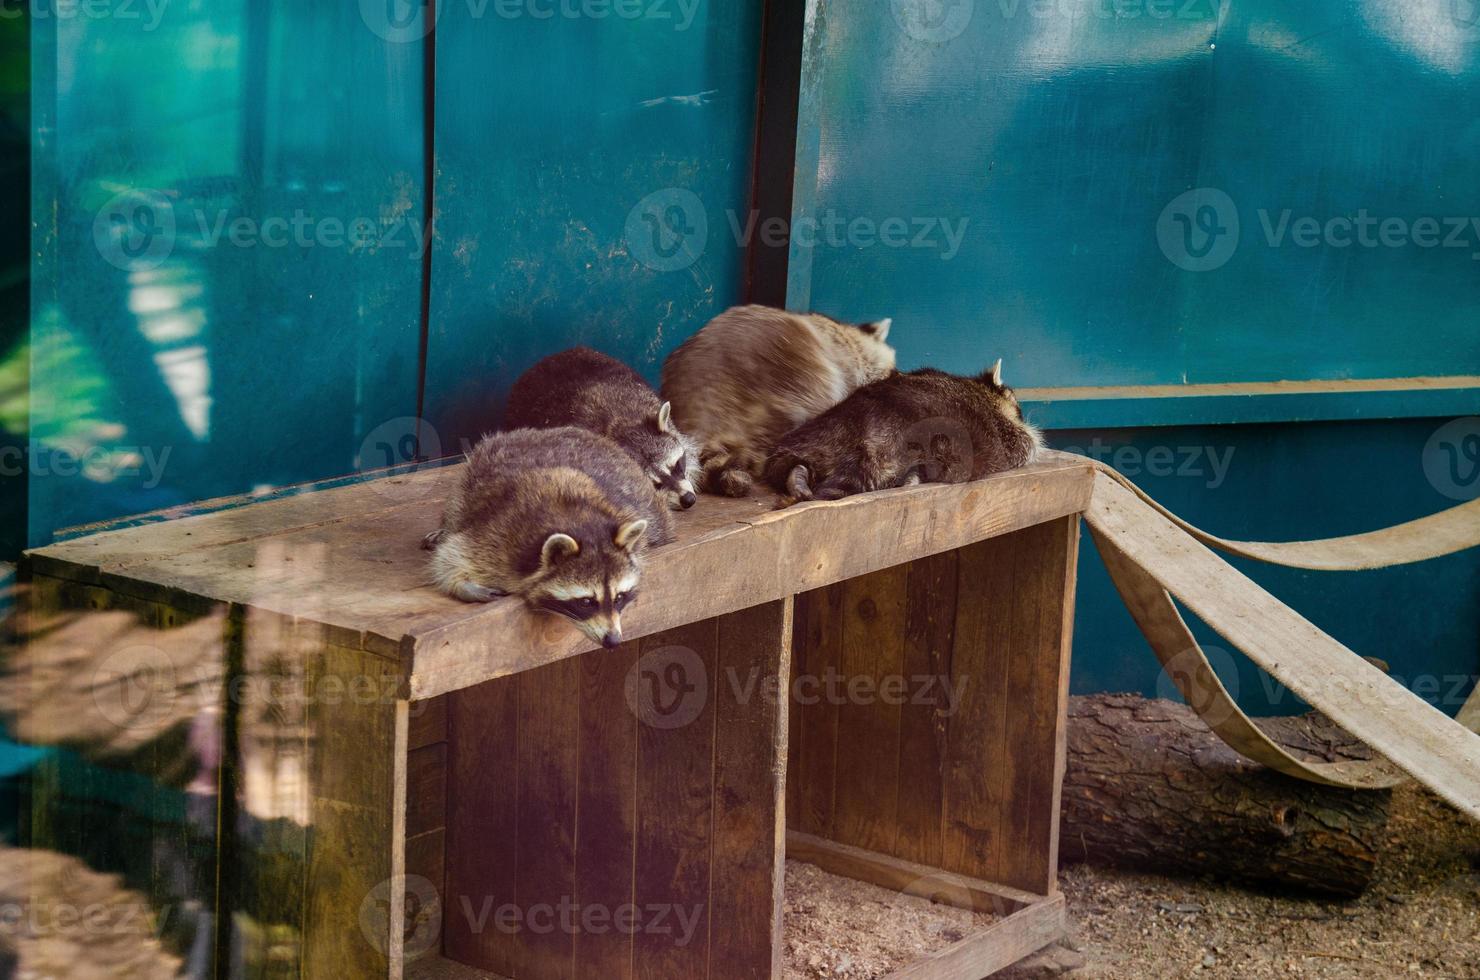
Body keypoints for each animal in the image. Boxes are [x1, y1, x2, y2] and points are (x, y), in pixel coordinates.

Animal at [423, 426, 677, 648]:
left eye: (619, 597)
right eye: (587, 602)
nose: (613, 641)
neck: (579, 520)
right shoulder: (500, 534)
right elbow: (452, 555)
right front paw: (459, 583)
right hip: (478, 464)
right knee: (458, 503)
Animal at [763, 361, 1041, 506]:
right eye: (1017, 406)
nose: (1020, 413)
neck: (982, 392)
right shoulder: (1011, 437)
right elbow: (1028, 442)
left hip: (819, 432)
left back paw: (796, 474)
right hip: (930, 446)